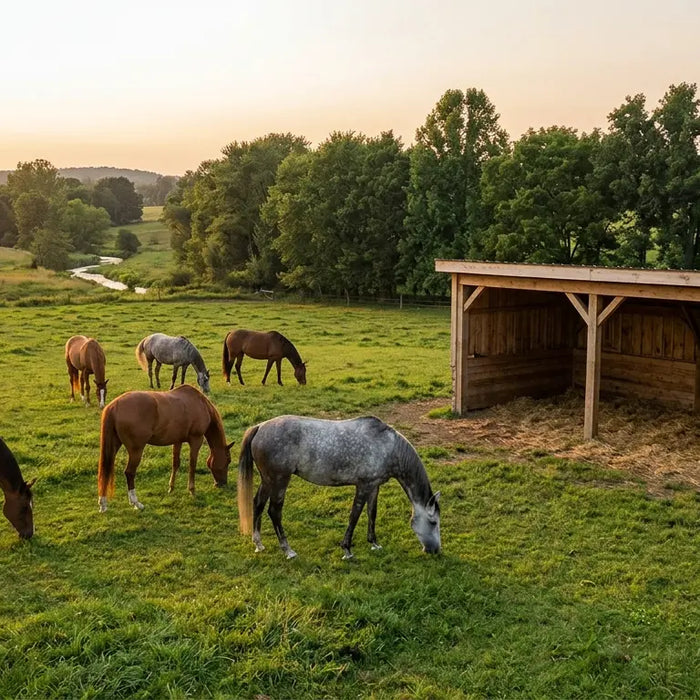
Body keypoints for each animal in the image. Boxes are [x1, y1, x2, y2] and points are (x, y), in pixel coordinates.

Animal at [97, 385, 233, 512]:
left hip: (113, 446)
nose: (222, 484)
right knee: (129, 473)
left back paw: (103, 504)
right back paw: (136, 503)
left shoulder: (177, 441)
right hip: (136, 450)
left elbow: (175, 463)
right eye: (228, 461)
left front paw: (171, 488)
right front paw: (192, 490)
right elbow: (192, 465)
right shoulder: (196, 440)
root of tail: (114, 406)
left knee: (106, 470)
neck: (201, 404)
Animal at [237, 415, 441, 559]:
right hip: (279, 480)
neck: (388, 447)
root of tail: (259, 427)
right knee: (274, 511)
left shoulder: (374, 486)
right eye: (433, 522)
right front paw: (347, 549)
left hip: (268, 480)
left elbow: (372, 513)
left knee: (257, 504)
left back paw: (258, 544)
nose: (435, 550)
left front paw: (374, 543)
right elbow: (354, 516)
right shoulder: (363, 486)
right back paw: (288, 550)